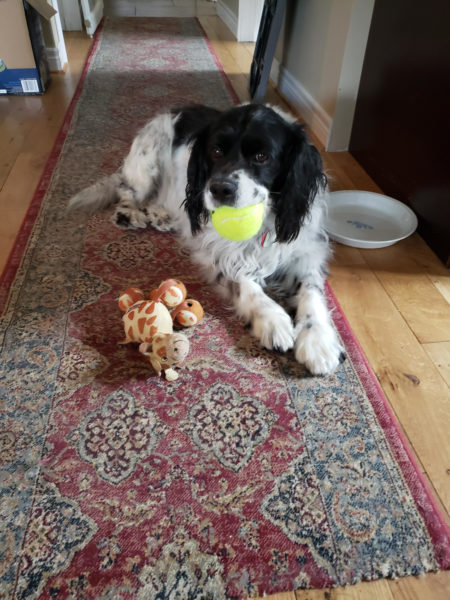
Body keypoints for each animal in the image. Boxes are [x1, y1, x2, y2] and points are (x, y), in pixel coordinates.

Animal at [71, 104, 344, 376]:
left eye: (262, 156)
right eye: (216, 151)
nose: (220, 188)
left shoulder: (306, 251)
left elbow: (311, 292)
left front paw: (318, 341)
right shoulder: (218, 253)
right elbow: (244, 282)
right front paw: (273, 320)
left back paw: (163, 218)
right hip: (147, 161)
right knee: (126, 194)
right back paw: (132, 215)